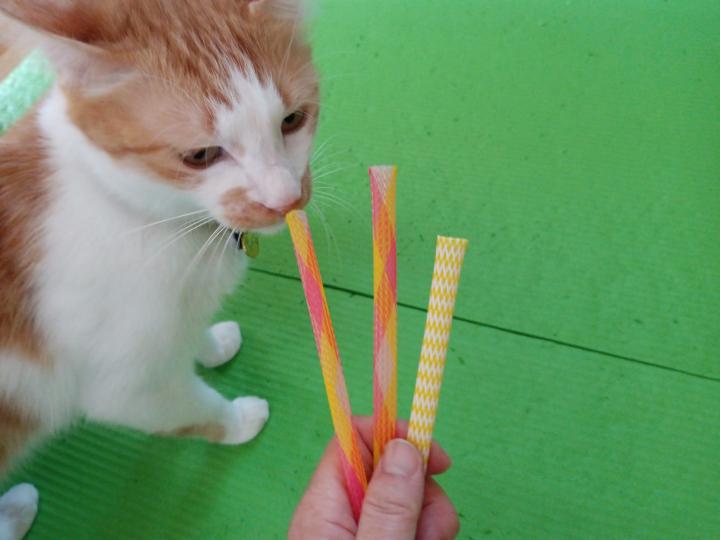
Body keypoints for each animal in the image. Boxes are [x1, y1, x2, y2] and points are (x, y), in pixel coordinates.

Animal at [0, 0, 318, 538]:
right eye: (201, 155)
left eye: (293, 120)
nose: (286, 199)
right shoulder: (126, 386)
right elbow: (193, 408)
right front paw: (239, 420)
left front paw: (210, 343)